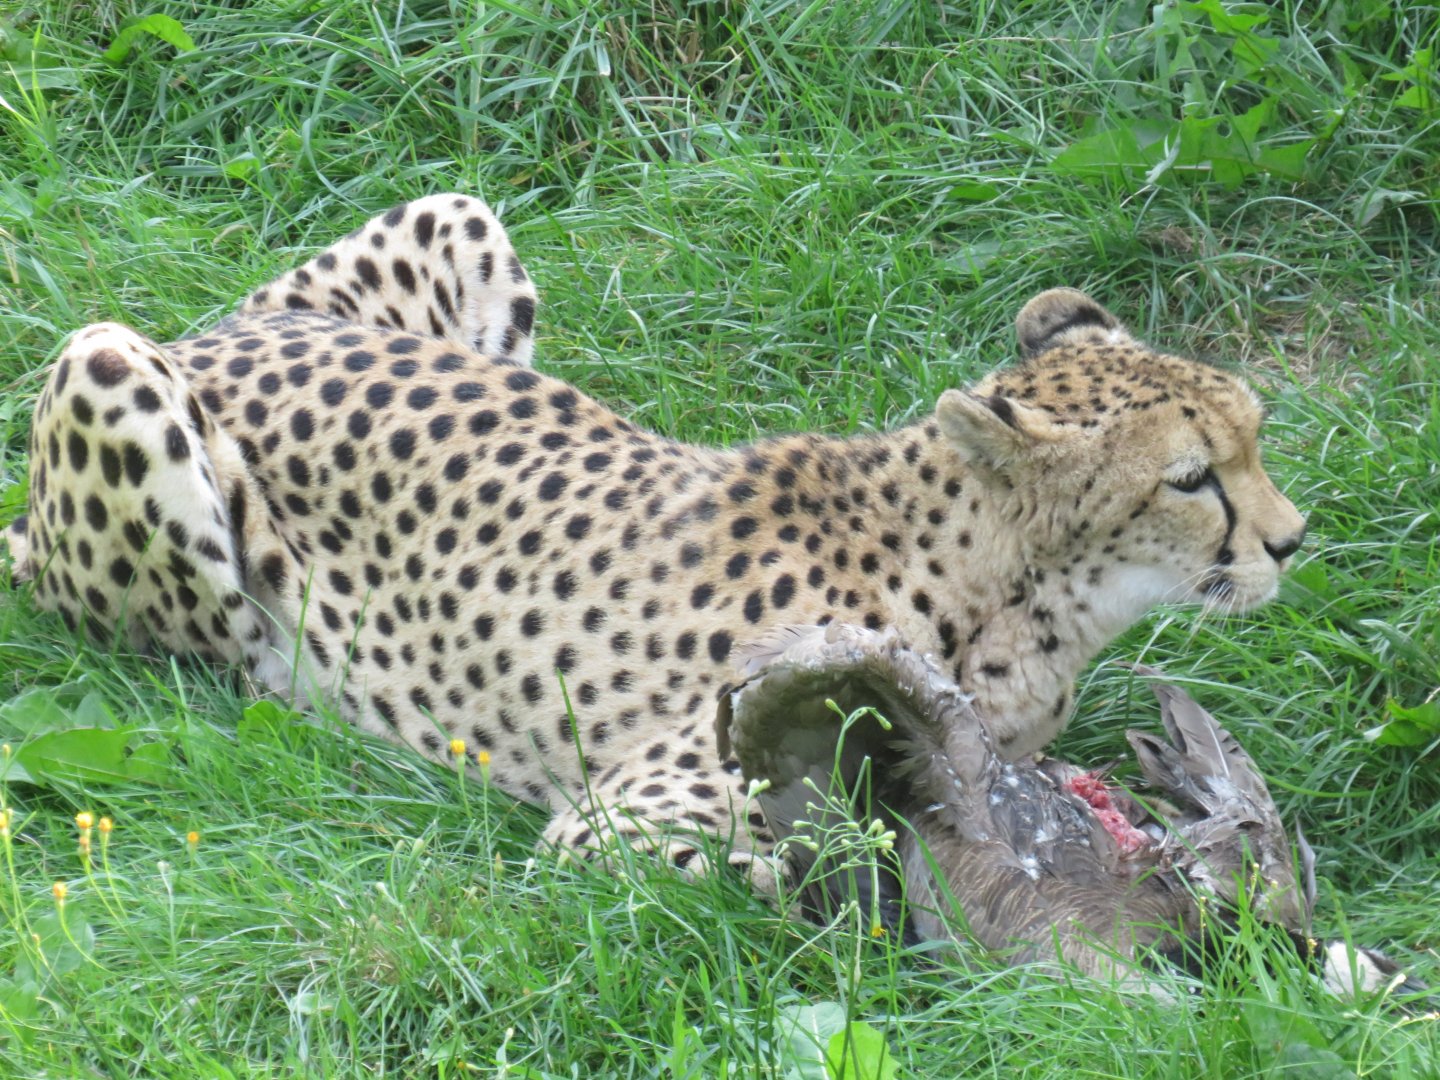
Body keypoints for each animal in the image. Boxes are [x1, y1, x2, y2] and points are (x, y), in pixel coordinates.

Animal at [3, 193, 1307, 886]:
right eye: (1194, 479)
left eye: (1253, 436)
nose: (1292, 541)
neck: (1014, 600)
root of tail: (219, 337)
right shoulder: (615, 826)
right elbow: (788, 869)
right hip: (108, 367)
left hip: (459, 215)